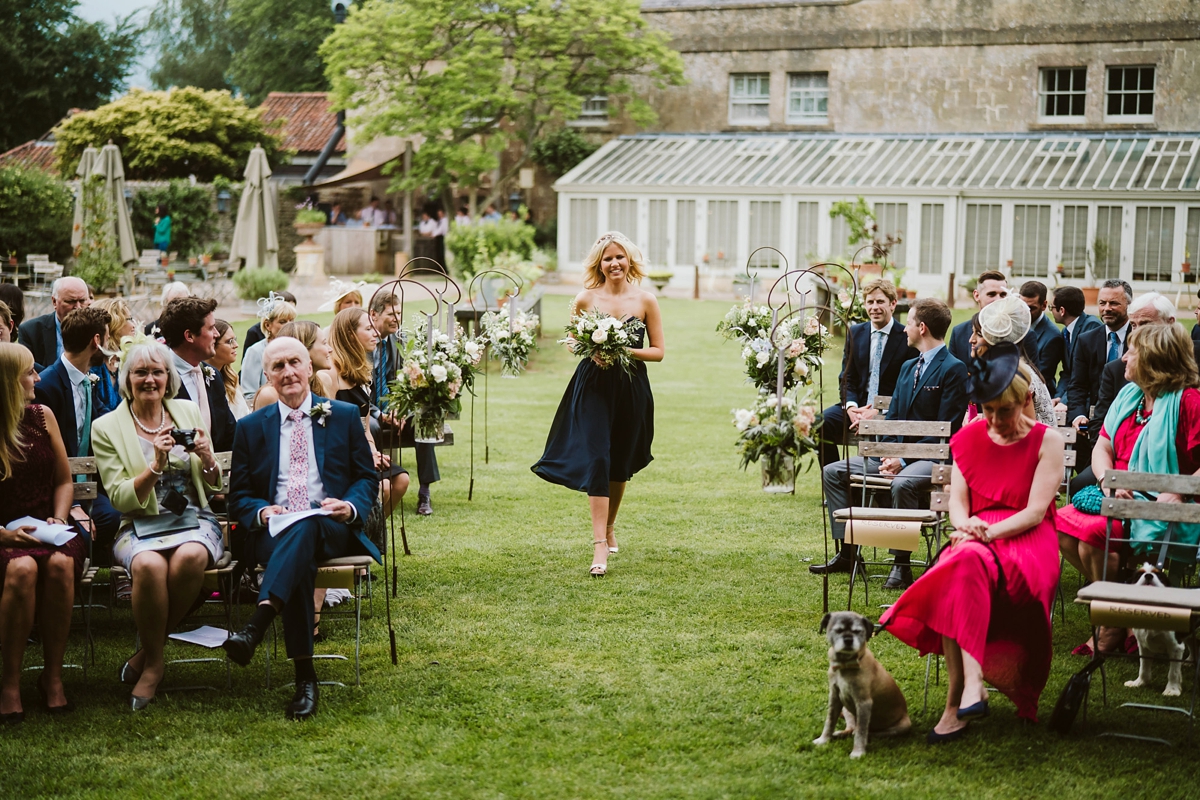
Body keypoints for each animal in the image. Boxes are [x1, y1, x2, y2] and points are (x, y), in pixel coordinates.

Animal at [816, 614, 907, 758]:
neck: (845, 664)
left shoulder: (863, 703)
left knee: (869, 732)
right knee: (852, 727)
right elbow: (829, 721)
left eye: (858, 631)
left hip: (902, 725)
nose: (848, 640)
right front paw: (824, 739)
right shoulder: (835, 697)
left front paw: (858, 752)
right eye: (838, 630)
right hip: (846, 709)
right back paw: (840, 733)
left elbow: (861, 731)